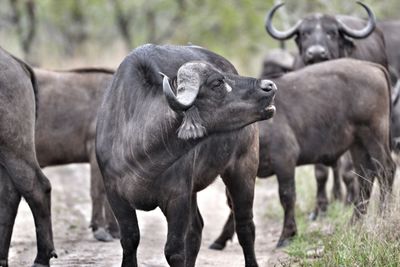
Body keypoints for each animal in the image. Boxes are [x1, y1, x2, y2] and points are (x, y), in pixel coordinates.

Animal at [96, 44, 278, 267]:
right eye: (217, 82)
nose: (269, 86)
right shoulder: (115, 196)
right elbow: (130, 240)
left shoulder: (177, 197)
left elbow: (173, 250)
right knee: (196, 230)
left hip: (244, 166)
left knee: (245, 226)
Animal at [211, 59, 396, 251]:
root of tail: (373, 67)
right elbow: (234, 203)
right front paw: (222, 238)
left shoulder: (284, 159)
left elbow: (287, 196)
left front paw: (287, 234)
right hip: (357, 142)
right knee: (365, 176)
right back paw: (354, 222)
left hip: (374, 134)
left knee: (386, 170)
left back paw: (383, 215)